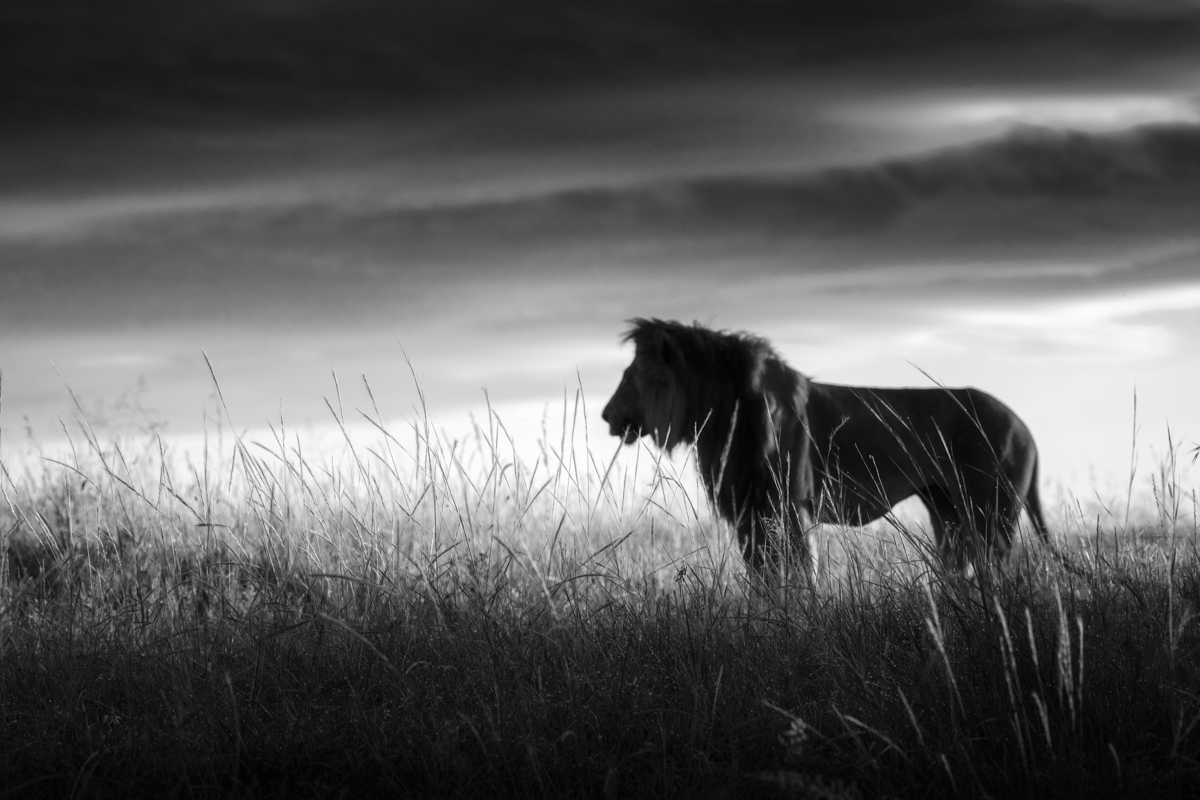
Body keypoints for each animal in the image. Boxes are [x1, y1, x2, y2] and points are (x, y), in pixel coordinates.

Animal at [601, 318, 1050, 578]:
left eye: (634, 373)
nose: (606, 415)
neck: (724, 410)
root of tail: (1026, 428)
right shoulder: (751, 511)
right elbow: (763, 577)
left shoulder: (791, 503)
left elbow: (801, 574)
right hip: (948, 511)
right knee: (960, 568)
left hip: (991, 512)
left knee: (999, 570)